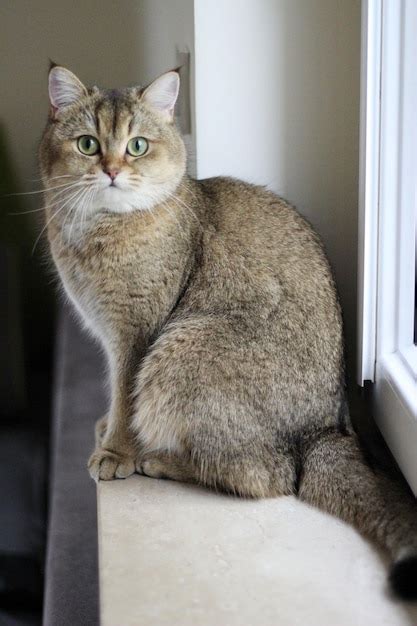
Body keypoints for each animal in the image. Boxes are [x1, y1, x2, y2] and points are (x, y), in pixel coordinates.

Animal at [39, 64, 416, 600]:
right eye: (88, 145)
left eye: (137, 146)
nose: (111, 170)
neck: (96, 229)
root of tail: (326, 429)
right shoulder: (112, 336)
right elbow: (115, 389)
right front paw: (107, 427)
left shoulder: (137, 333)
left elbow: (127, 396)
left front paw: (117, 450)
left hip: (181, 349)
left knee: (269, 478)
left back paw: (163, 460)